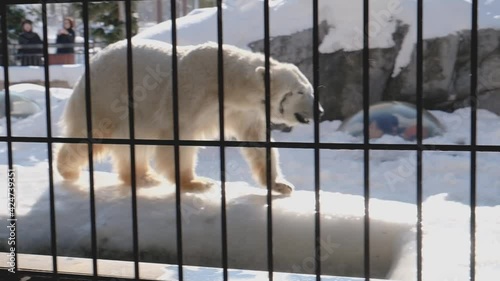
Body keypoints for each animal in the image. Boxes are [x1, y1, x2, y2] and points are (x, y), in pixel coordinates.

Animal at [56, 38, 322, 192]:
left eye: (311, 88)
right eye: (300, 91)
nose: (319, 111)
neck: (228, 82)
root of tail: (91, 63)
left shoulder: (243, 111)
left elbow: (257, 142)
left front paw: (280, 184)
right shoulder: (191, 93)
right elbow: (179, 137)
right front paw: (196, 182)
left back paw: (143, 177)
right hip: (109, 97)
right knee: (90, 134)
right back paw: (68, 170)